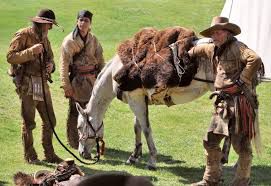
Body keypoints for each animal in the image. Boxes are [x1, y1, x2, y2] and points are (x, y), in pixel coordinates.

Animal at [76, 39, 215, 170]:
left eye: (79, 127)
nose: (81, 153)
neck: (114, 73)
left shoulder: (135, 100)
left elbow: (146, 129)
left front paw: (152, 161)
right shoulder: (139, 100)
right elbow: (137, 127)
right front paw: (134, 156)